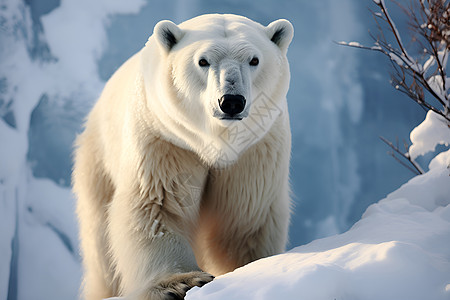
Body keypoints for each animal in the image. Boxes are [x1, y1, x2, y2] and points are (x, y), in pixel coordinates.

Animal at [72, 14, 294, 300]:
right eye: (203, 61)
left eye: (254, 60)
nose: (231, 101)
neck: (215, 143)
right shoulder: (165, 140)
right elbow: (158, 205)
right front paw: (181, 282)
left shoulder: (254, 150)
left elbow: (243, 219)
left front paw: (249, 268)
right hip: (99, 161)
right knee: (101, 247)